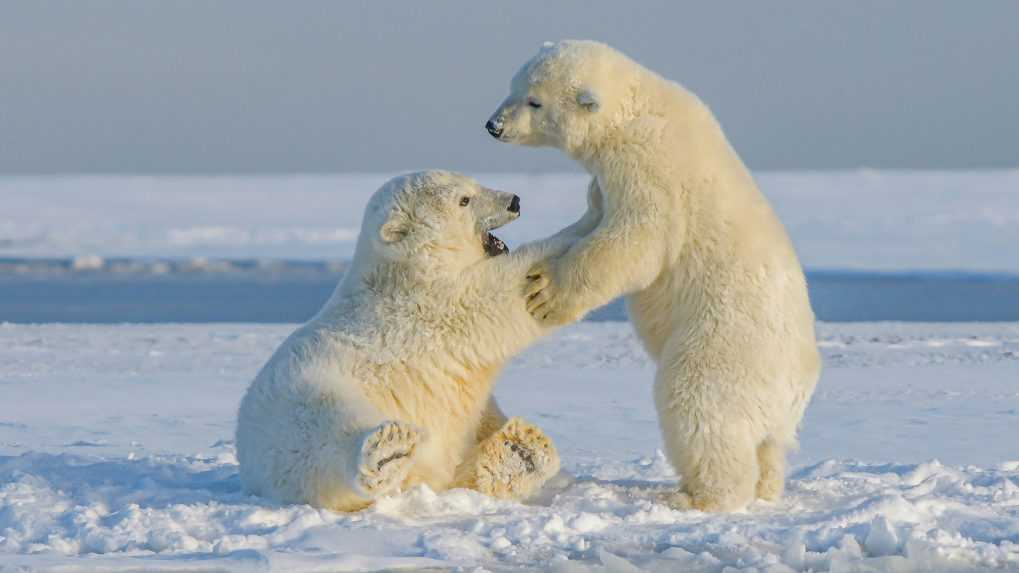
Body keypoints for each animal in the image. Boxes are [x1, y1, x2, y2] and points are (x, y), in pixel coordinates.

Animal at [237, 170, 566, 507]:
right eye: (464, 199)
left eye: (474, 183)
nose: (514, 201)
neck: (404, 268)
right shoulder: (428, 306)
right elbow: (492, 296)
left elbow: (476, 417)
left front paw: (519, 449)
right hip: (304, 397)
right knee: (326, 426)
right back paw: (387, 452)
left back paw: (521, 448)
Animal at [483, 42, 819, 509]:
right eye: (513, 87)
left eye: (534, 101)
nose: (493, 126)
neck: (637, 107)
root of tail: (797, 386)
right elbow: (598, 215)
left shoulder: (648, 167)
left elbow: (636, 239)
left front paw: (546, 292)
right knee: (769, 445)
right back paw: (765, 488)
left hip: (723, 346)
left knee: (699, 408)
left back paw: (698, 497)